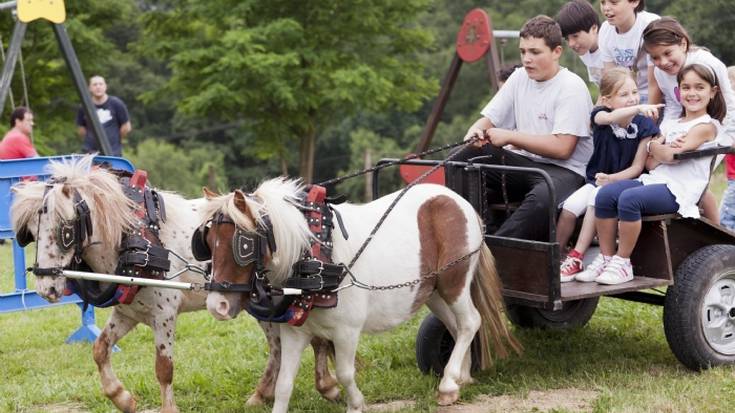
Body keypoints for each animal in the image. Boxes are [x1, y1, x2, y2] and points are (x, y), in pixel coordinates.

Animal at [9, 155, 336, 412]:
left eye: (64, 229)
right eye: (30, 233)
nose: (46, 288)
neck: (137, 237)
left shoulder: (164, 314)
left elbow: (163, 368)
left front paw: (165, 407)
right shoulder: (128, 314)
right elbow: (100, 349)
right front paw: (122, 398)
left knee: (306, 340)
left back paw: (324, 384)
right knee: (282, 345)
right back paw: (263, 394)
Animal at [201, 178, 516, 412]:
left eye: (243, 245)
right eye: (207, 241)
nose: (217, 305)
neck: (314, 256)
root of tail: (459, 201)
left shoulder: (346, 331)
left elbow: (344, 373)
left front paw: (355, 403)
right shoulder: (294, 333)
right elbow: (284, 385)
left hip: (455, 282)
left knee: (470, 322)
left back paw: (449, 384)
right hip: (432, 292)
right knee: (455, 326)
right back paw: (462, 376)